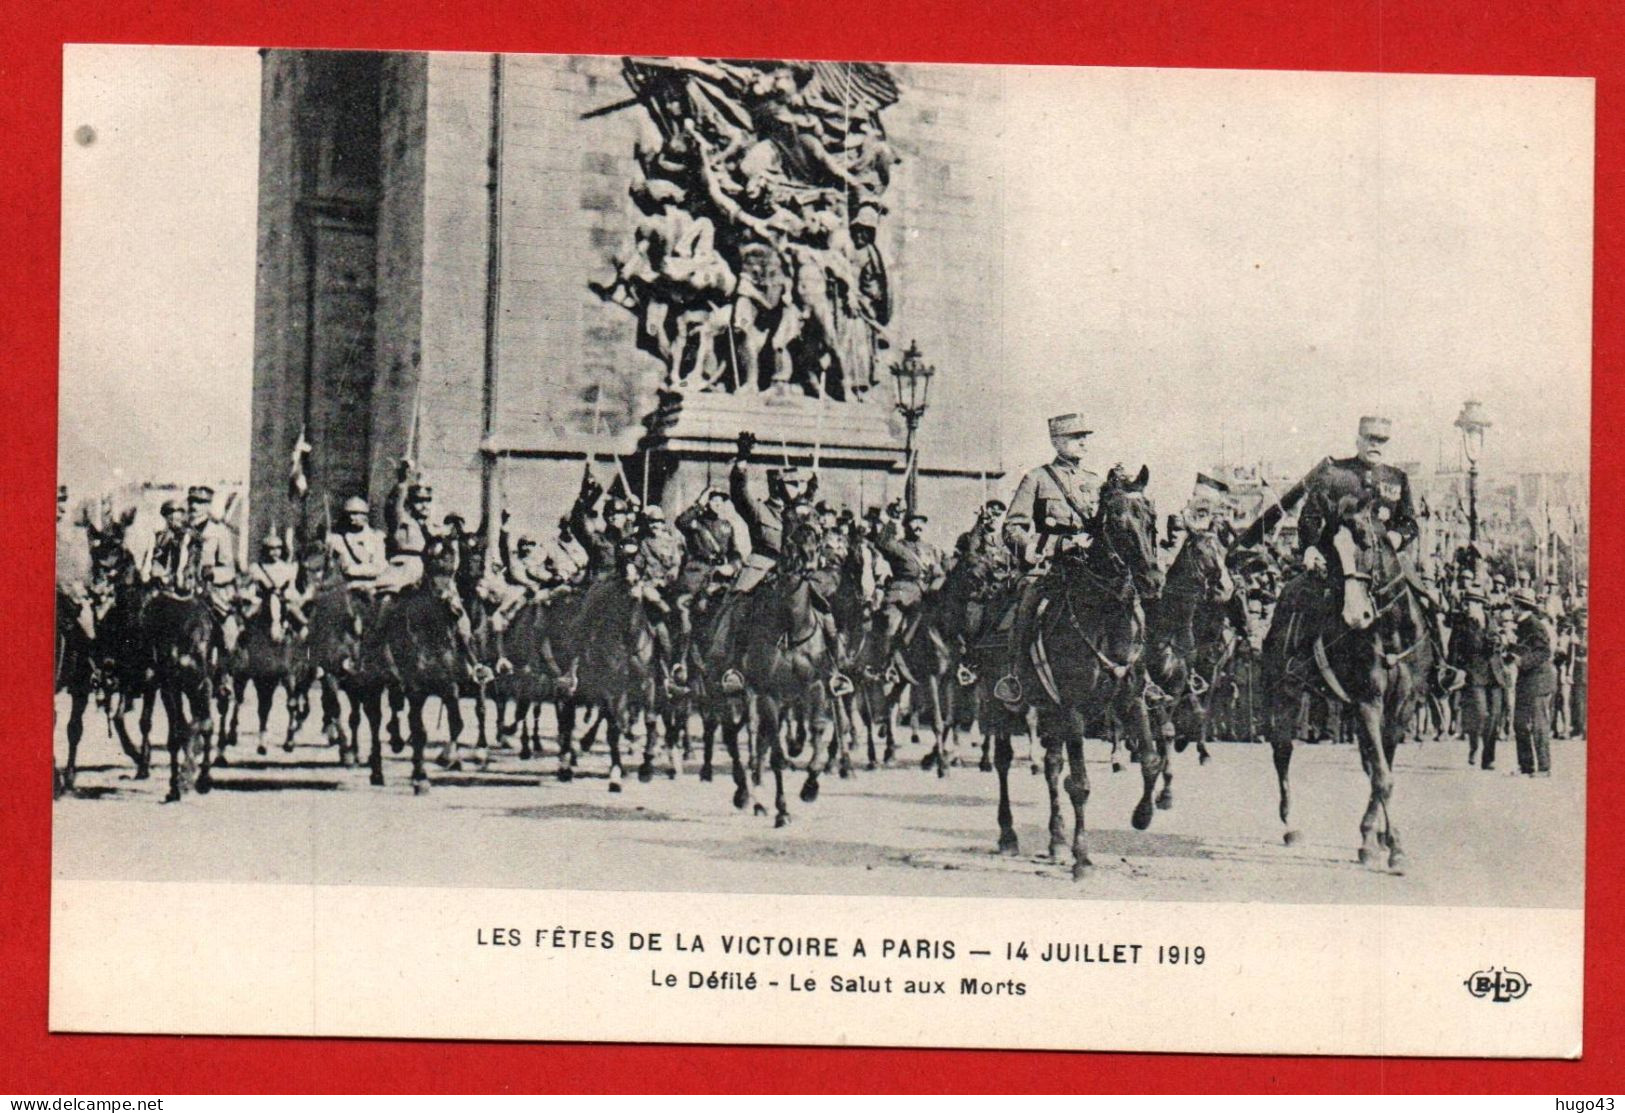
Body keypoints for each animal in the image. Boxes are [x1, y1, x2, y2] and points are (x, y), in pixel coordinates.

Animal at [994, 464, 1163, 870]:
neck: (1104, 616)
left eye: (1151, 518)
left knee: (1052, 765)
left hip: (1048, 710)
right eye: (1117, 523)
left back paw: (1056, 840)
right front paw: (1082, 856)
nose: (1152, 581)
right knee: (1003, 762)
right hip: (998, 708)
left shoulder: (1131, 698)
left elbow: (1151, 760)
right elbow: (1081, 783)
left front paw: (1142, 816)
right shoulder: (1073, 709)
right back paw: (1008, 835)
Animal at [1261, 487, 1430, 870]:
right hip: (1286, 692)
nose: (1356, 616)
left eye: (1366, 541)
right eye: (1331, 549)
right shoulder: (1368, 702)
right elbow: (1382, 776)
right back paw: (1291, 825)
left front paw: (1380, 837)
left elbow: (1383, 769)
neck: (1390, 631)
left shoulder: (1401, 709)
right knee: (1283, 751)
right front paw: (1387, 845)